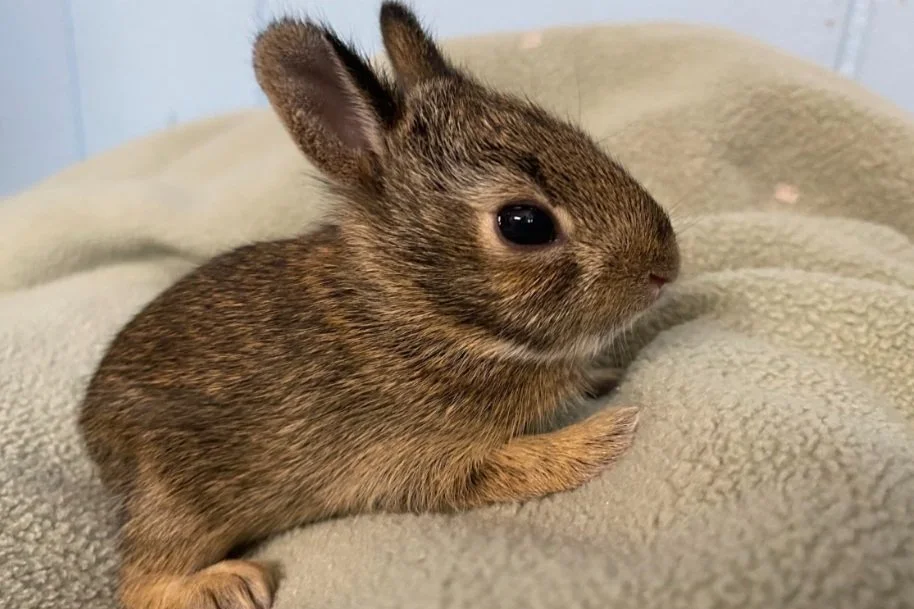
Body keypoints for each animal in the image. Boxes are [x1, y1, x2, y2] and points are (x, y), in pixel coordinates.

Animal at [78, 3, 680, 608]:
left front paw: (604, 377)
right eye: (524, 224)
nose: (665, 268)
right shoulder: (416, 455)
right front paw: (609, 431)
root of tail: (94, 432)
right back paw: (227, 585)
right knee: (141, 578)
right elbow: (507, 468)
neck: (421, 309)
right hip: (180, 495)